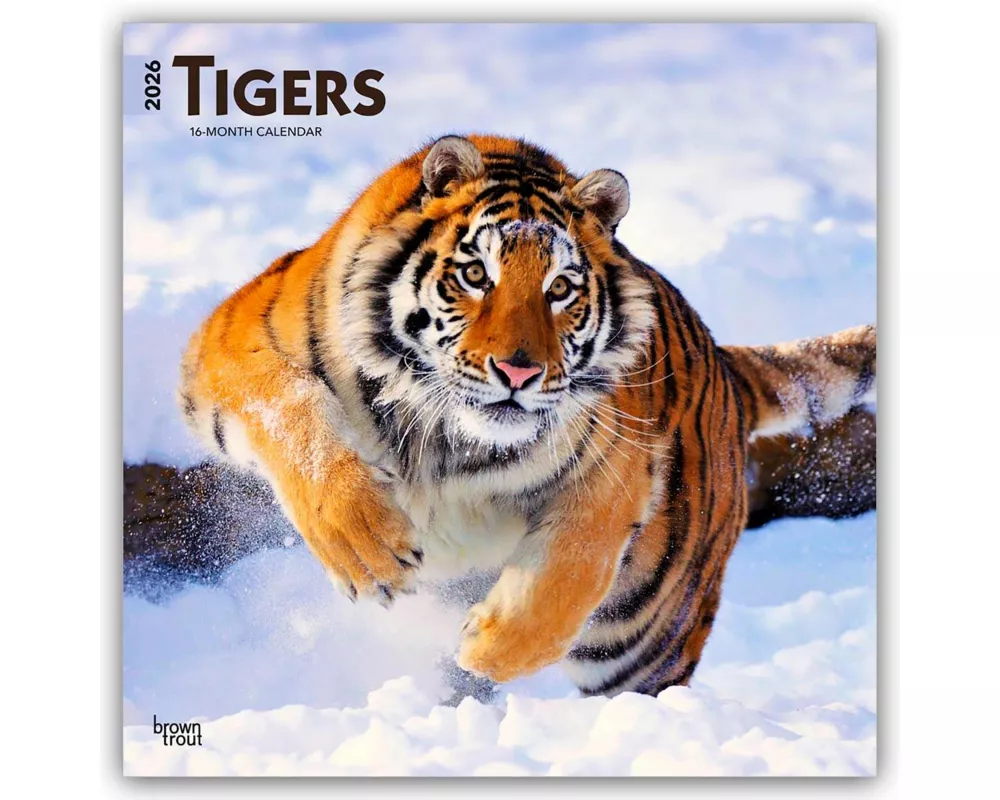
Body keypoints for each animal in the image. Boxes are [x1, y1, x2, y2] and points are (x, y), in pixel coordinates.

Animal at [179, 134, 876, 696]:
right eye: (474, 274)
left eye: (560, 288)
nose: (518, 373)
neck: (447, 438)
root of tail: (726, 366)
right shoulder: (231, 340)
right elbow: (291, 413)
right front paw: (366, 550)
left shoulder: (618, 462)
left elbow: (570, 569)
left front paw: (487, 647)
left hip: (648, 633)